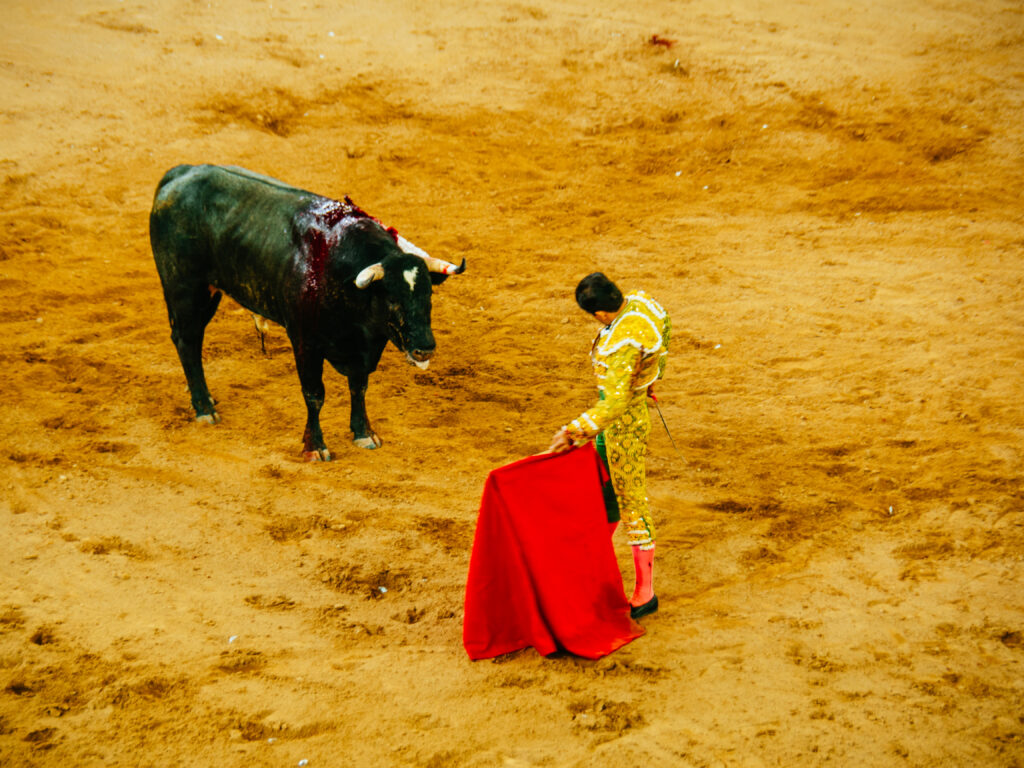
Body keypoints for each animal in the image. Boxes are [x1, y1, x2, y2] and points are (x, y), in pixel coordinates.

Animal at [149, 164, 468, 460]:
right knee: (187, 341)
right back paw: (204, 408)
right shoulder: (305, 342)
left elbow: (359, 387)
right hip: (185, 288)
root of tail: (180, 173)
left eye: (429, 295)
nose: (425, 348)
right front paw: (315, 447)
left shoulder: (361, 351)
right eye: (391, 299)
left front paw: (364, 433)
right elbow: (314, 394)